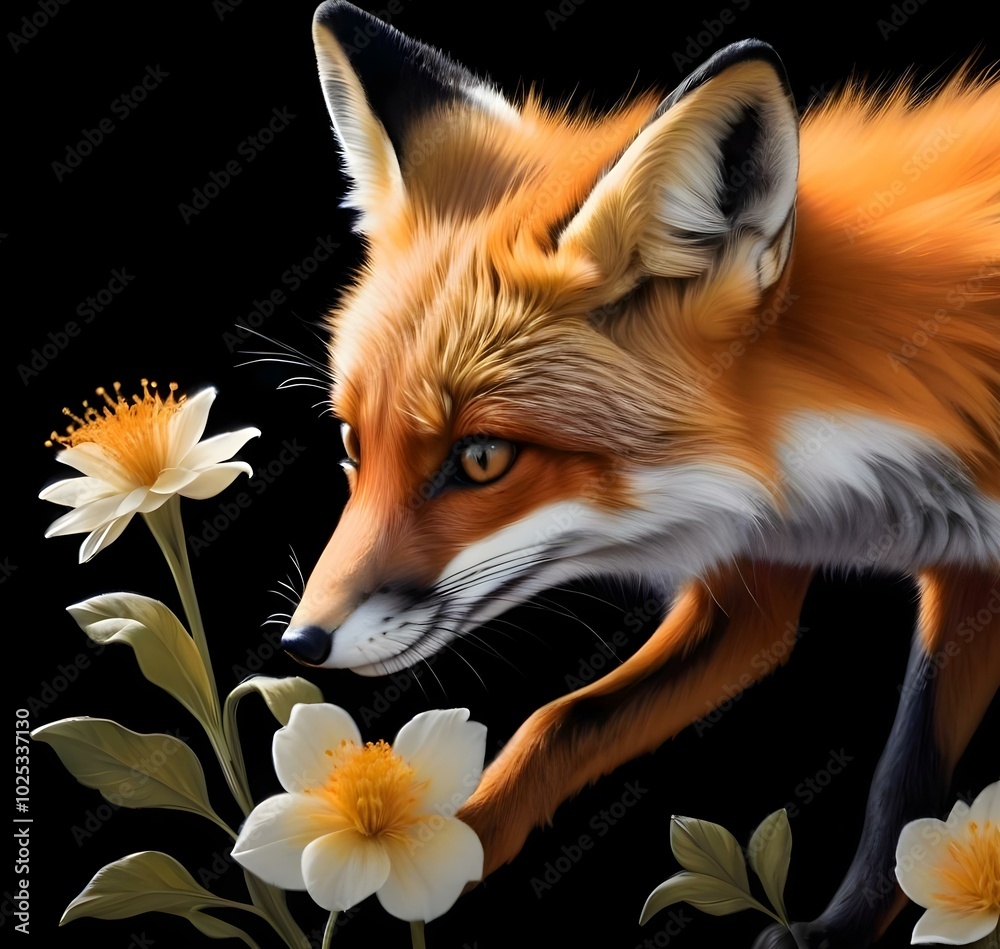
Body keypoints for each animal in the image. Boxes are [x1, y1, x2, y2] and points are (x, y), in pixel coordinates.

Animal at [280, 3, 1000, 946]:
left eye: (482, 457)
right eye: (353, 444)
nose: (301, 643)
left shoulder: (968, 561)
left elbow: (906, 771)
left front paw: (834, 931)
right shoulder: (758, 574)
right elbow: (561, 720)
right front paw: (426, 860)